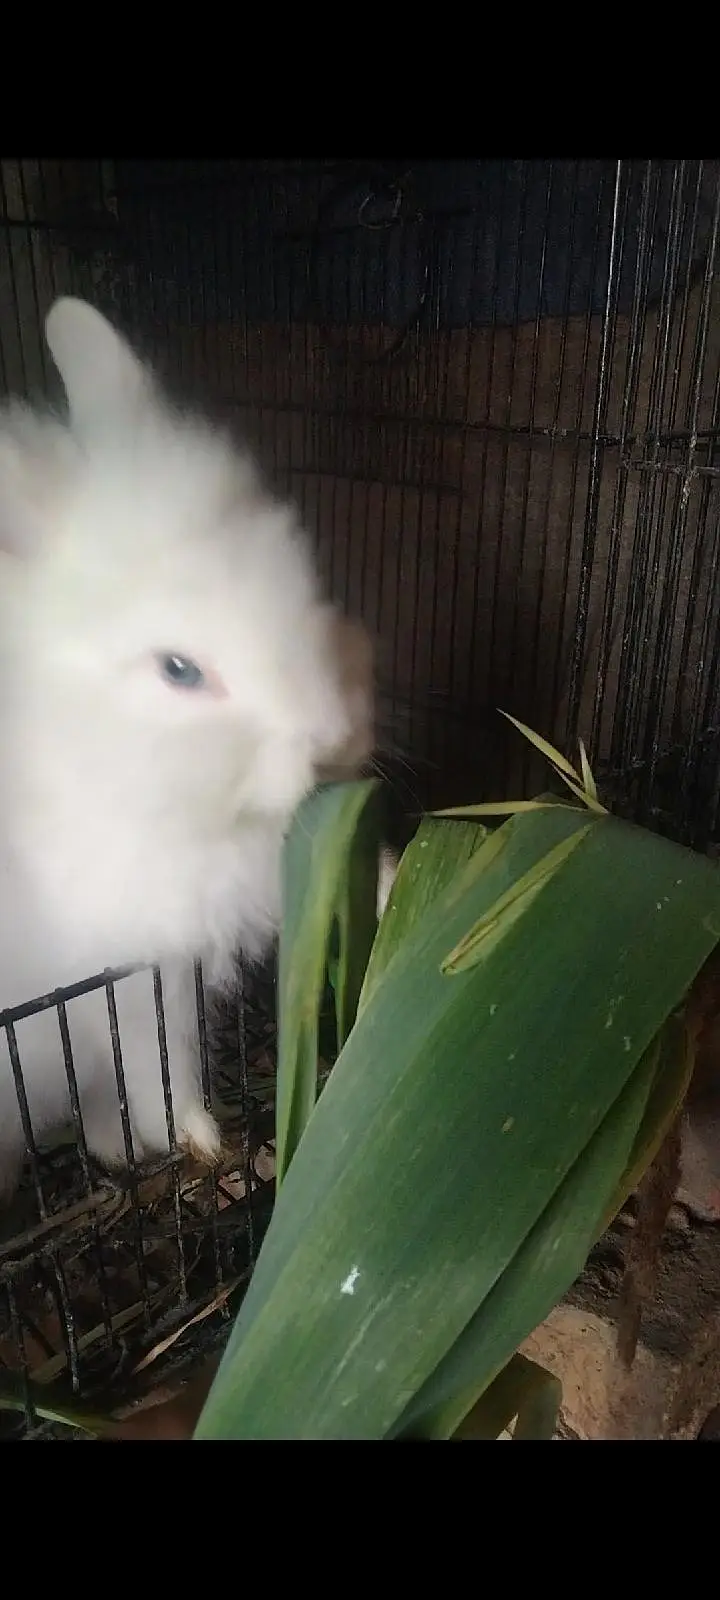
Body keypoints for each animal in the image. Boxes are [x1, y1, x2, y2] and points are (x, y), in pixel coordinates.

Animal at [0, 296, 397, 1199]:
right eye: (179, 669)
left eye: (302, 577)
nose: (332, 735)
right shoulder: (118, 962)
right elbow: (155, 1053)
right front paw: (193, 1137)